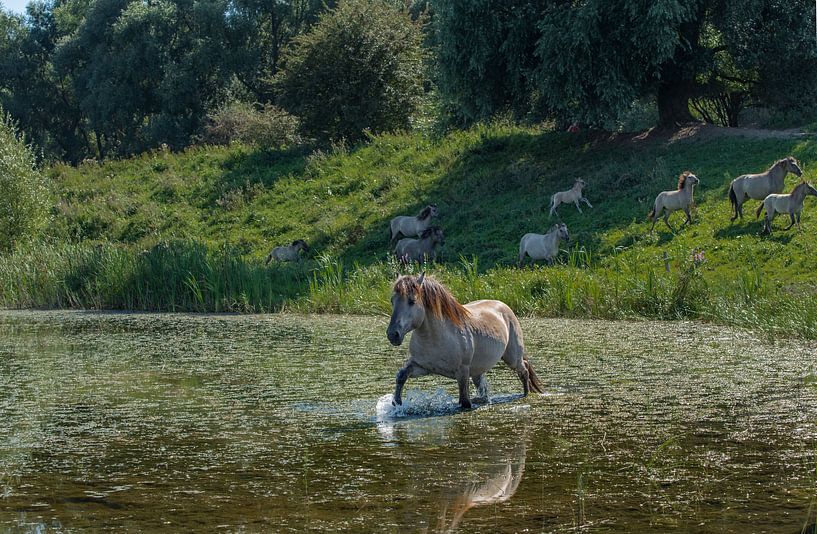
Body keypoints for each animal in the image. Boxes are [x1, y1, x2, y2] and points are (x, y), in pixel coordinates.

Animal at [386, 273, 545, 410]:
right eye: (392, 300)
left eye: (412, 301)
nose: (393, 334)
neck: (435, 338)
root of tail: (503, 306)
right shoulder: (422, 366)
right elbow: (401, 375)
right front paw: (397, 403)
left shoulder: (462, 372)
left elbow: (464, 402)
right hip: (478, 370)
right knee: (483, 389)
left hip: (512, 358)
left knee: (524, 370)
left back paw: (525, 394)